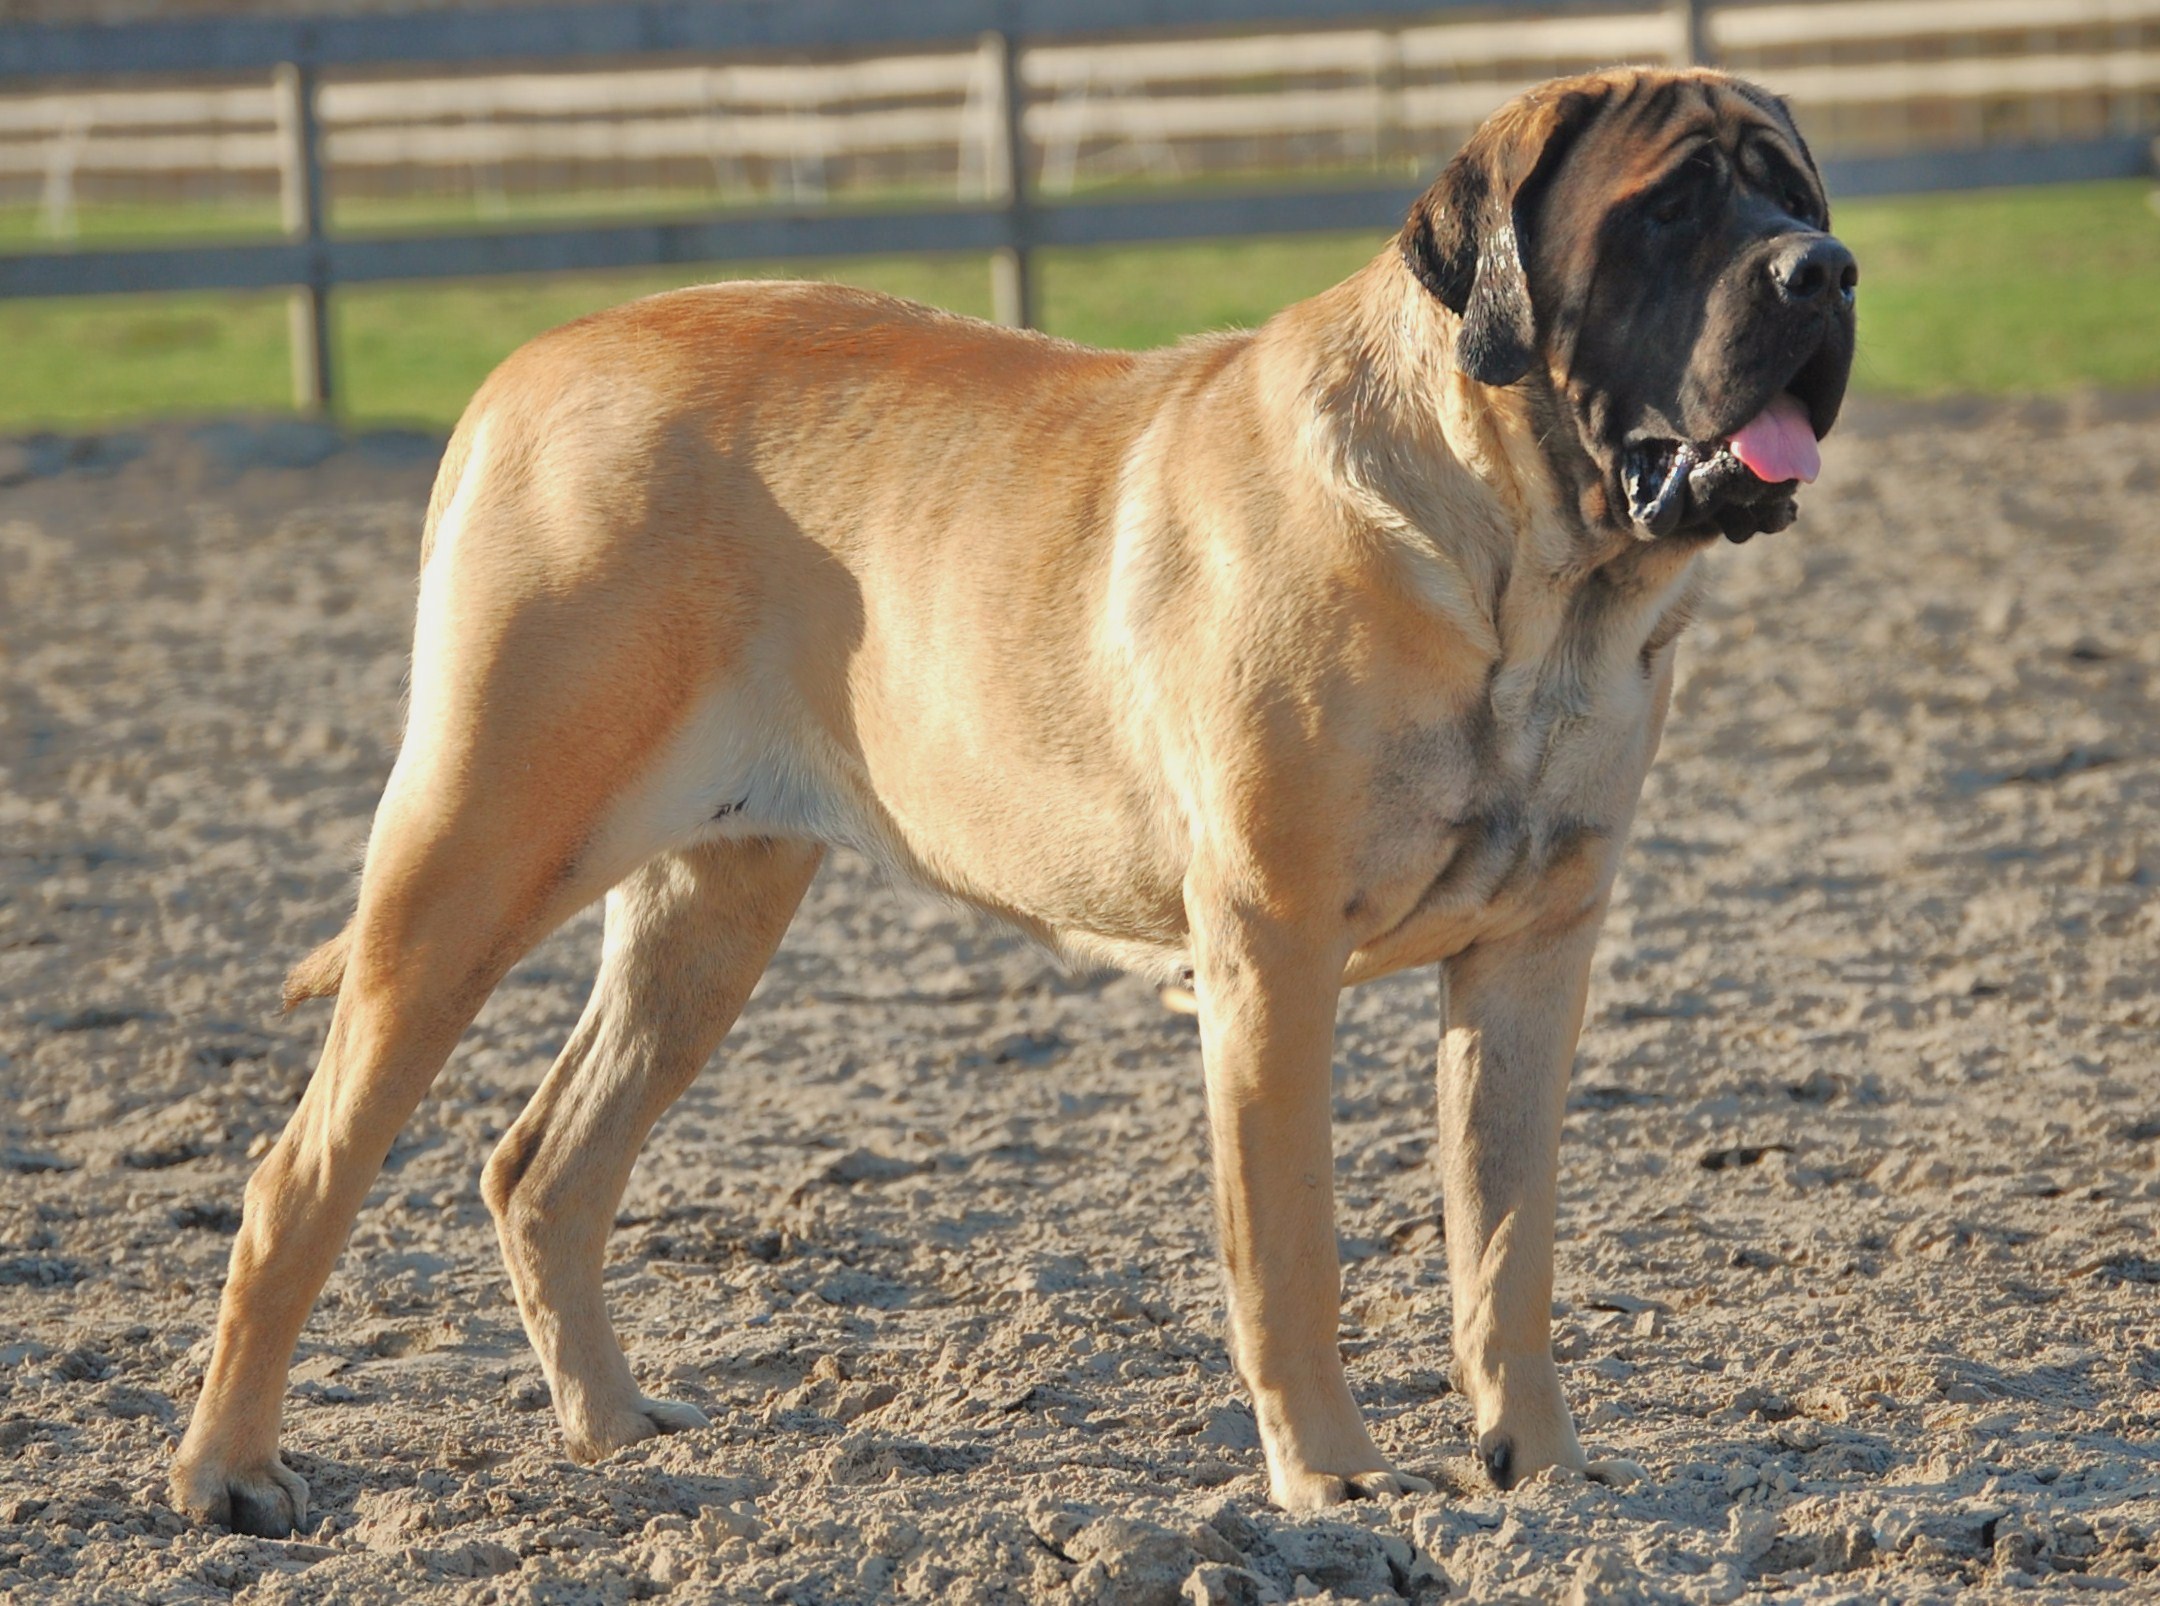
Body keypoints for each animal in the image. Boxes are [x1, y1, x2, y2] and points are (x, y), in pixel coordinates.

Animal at [168, 69, 1857, 1536]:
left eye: (1797, 190)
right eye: (1667, 209)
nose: (1826, 271)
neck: (1533, 581)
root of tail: (526, 370)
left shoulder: (1533, 953)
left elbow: (1509, 1248)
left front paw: (1543, 1470)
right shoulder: (1273, 951)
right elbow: (1290, 1246)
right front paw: (1328, 1474)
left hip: (714, 906)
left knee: (546, 1165)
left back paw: (612, 1430)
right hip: (474, 854)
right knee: (299, 1175)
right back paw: (230, 1475)